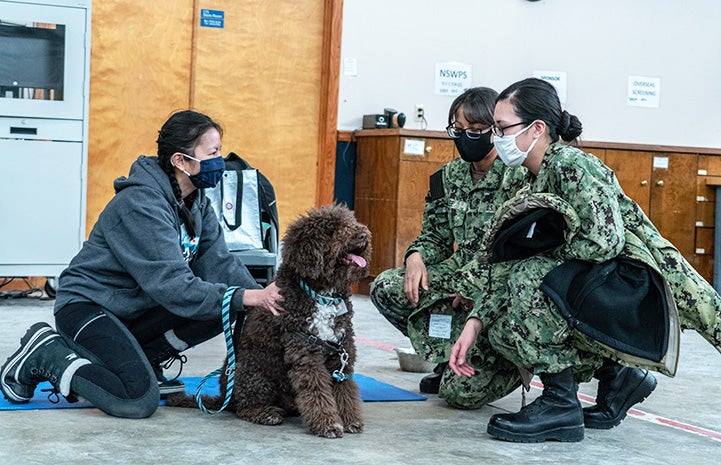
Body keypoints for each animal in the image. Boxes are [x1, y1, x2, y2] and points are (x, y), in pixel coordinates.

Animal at [169, 202, 372, 436]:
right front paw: (327, 423)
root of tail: (224, 397)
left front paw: (349, 419)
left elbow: (344, 388)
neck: (321, 294)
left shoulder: (342, 351)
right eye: (330, 230)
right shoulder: (305, 353)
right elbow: (316, 389)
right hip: (253, 374)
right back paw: (265, 413)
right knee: (244, 408)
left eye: (350, 221)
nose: (363, 234)